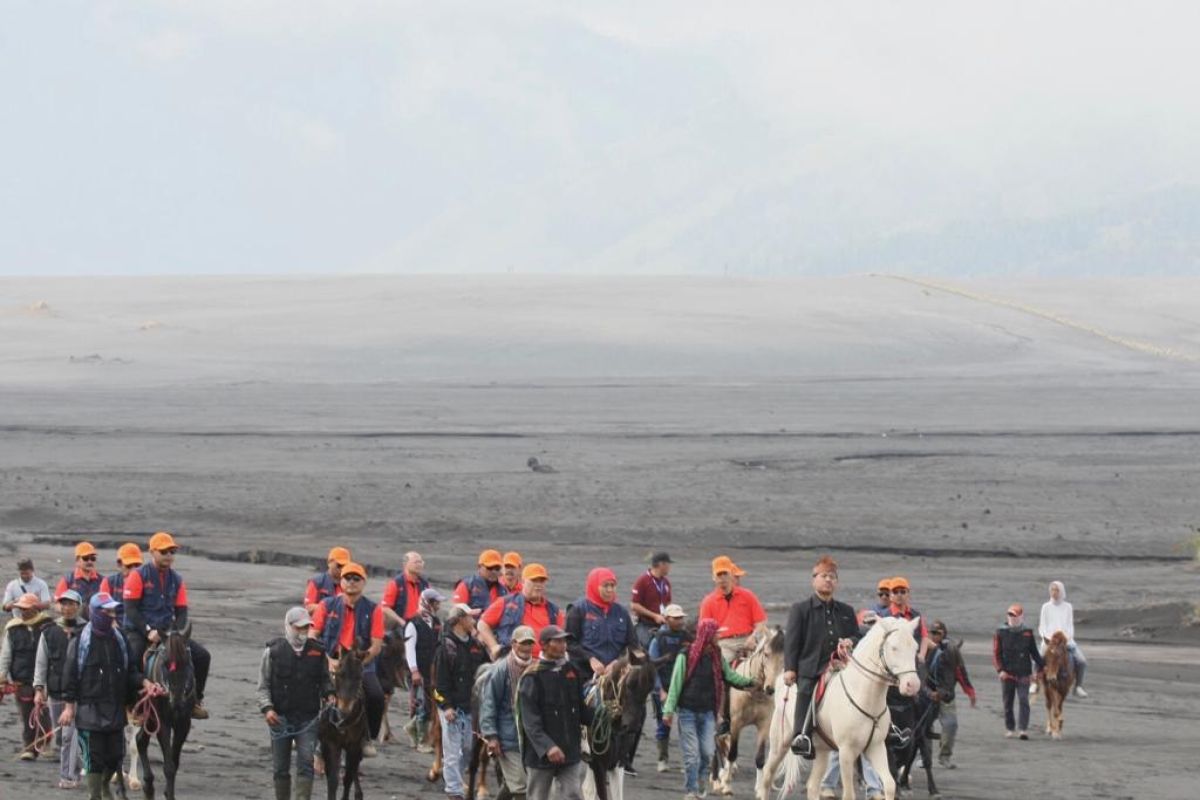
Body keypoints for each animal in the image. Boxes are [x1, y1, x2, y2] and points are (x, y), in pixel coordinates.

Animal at [321, 652, 367, 800]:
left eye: (359, 677)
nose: (344, 709)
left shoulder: (354, 745)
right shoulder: (330, 743)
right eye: (339, 674)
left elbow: (348, 777)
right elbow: (332, 780)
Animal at [758, 618, 916, 796]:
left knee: (812, 785)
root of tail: (781, 678)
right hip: (780, 743)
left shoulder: (876, 748)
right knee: (767, 776)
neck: (863, 695)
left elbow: (889, 784)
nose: (912, 685)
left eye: (915, 647)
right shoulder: (846, 752)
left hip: (821, 750)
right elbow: (849, 794)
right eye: (894, 647)